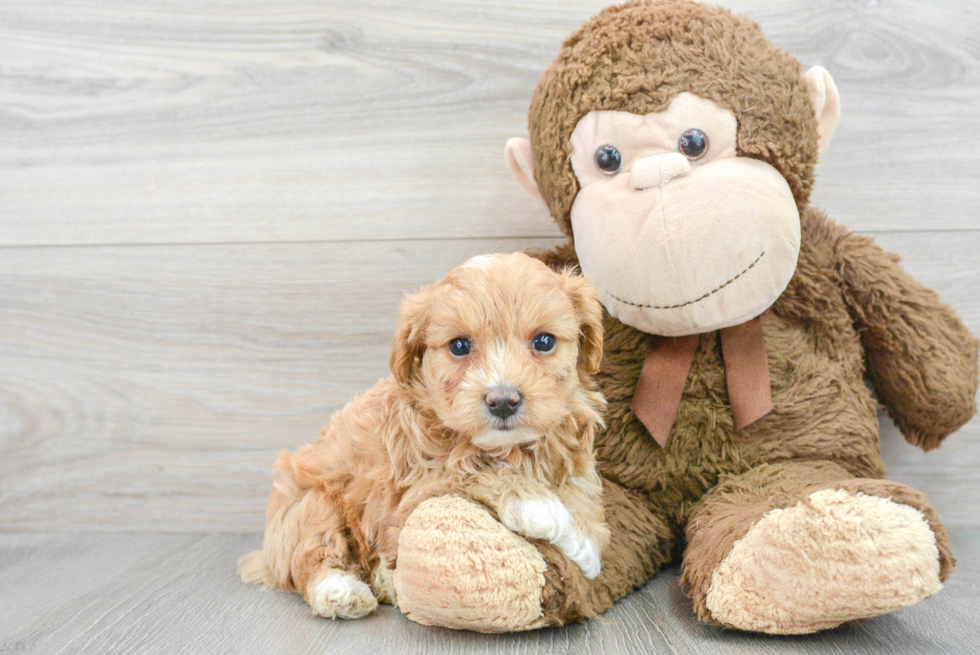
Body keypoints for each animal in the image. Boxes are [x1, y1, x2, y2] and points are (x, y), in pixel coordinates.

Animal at [239, 254, 604, 624]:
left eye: (544, 342)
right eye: (460, 345)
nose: (503, 401)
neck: (506, 446)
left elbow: (578, 487)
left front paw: (584, 539)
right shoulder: (419, 482)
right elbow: (478, 470)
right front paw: (544, 510)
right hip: (309, 503)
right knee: (312, 555)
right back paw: (341, 592)